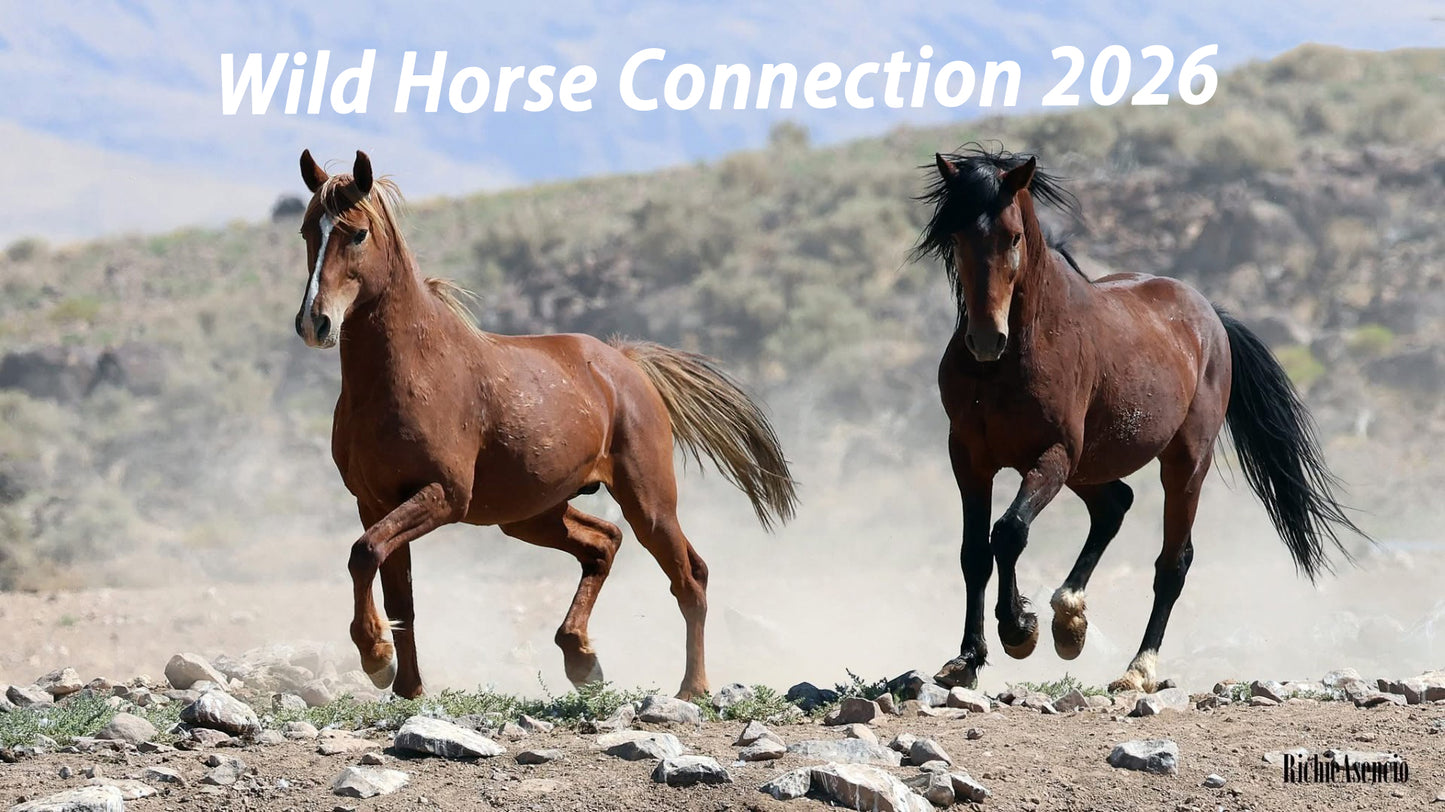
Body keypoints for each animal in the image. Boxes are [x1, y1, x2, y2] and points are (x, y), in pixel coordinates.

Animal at [292, 149, 798, 700]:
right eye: (307, 231)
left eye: (358, 233)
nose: (314, 323)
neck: (409, 370)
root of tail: (625, 363)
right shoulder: (375, 502)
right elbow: (394, 591)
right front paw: (406, 686)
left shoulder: (443, 495)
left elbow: (364, 554)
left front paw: (376, 657)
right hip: (532, 515)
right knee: (605, 544)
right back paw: (582, 659)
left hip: (648, 503)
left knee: (689, 578)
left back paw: (692, 687)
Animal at [912, 144, 1367, 693]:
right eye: (956, 235)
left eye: (1013, 236)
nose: (985, 339)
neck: (1020, 350)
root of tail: (1211, 315)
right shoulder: (970, 458)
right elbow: (974, 552)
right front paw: (967, 658)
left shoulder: (1052, 455)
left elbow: (1009, 532)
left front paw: (1019, 630)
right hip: (1089, 466)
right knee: (1114, 506)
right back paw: (1070, 621)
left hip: (1181, 462)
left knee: (1172, 562)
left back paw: (1136, 668)